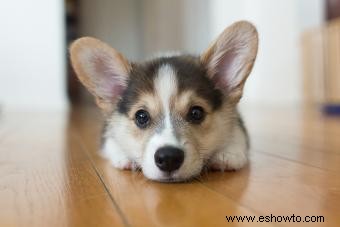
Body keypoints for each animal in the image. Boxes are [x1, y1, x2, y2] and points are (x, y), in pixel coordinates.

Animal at [70, 20, 258, 182]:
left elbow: (237, 136)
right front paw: (125, 157)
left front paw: (227, 154)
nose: (168, 158)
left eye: (196, 113)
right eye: (141, 116)